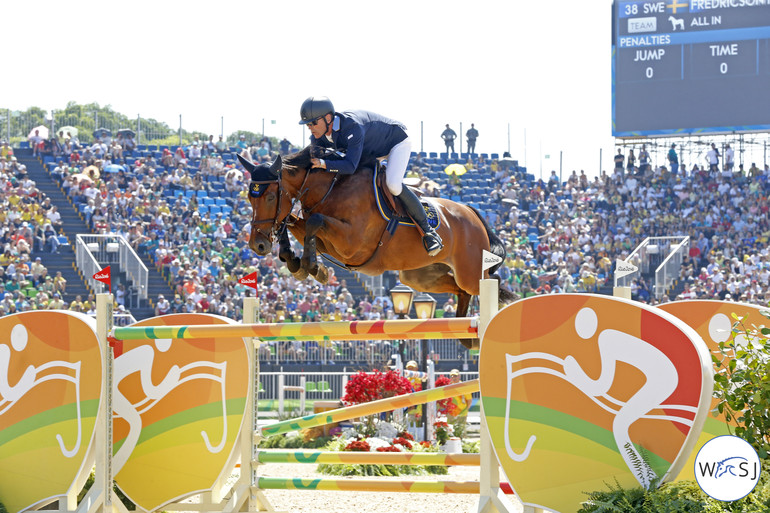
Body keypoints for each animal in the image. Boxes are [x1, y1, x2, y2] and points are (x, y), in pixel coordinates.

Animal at [240, 144, 512, 318]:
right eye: (250, 198)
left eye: (271, 196)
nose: (258, 245)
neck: (331, 188)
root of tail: (472, 212)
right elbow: (294, 222)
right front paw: (295, 261)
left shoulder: (351, 244)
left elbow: (313, 222)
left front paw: (311, 266)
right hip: (418, 277)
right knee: (460, 290)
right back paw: (465, 334)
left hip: (469, 272)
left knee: (488, 284)